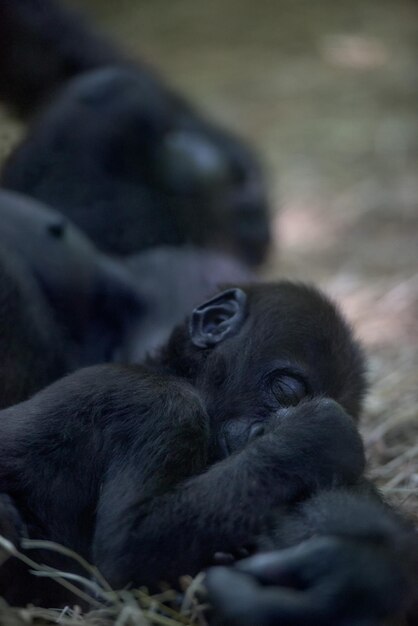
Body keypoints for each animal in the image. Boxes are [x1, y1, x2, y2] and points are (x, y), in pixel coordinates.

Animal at [0, 286, 414, 620]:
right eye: (288, 393)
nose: (260, 434)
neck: (172, 373)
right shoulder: (165, 407)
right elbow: (129, 544)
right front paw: (315, 436)